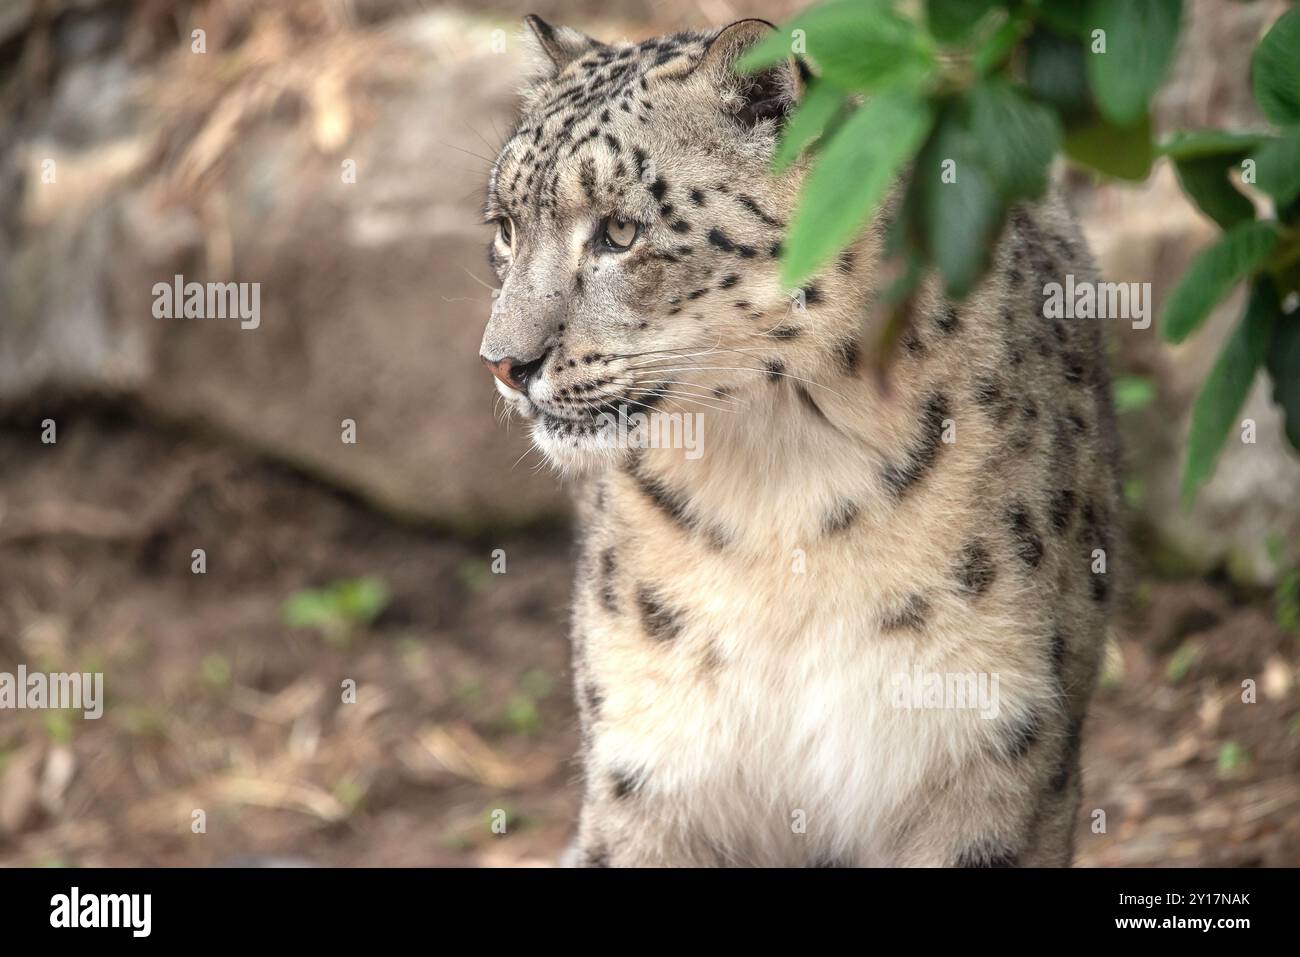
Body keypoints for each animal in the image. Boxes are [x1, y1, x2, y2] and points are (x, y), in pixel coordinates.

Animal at [478, 14, 1120, 867]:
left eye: (619, 229)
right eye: (505, 228)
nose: (504, 362)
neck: (774, 484)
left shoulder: (985, 753)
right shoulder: (648, 763)